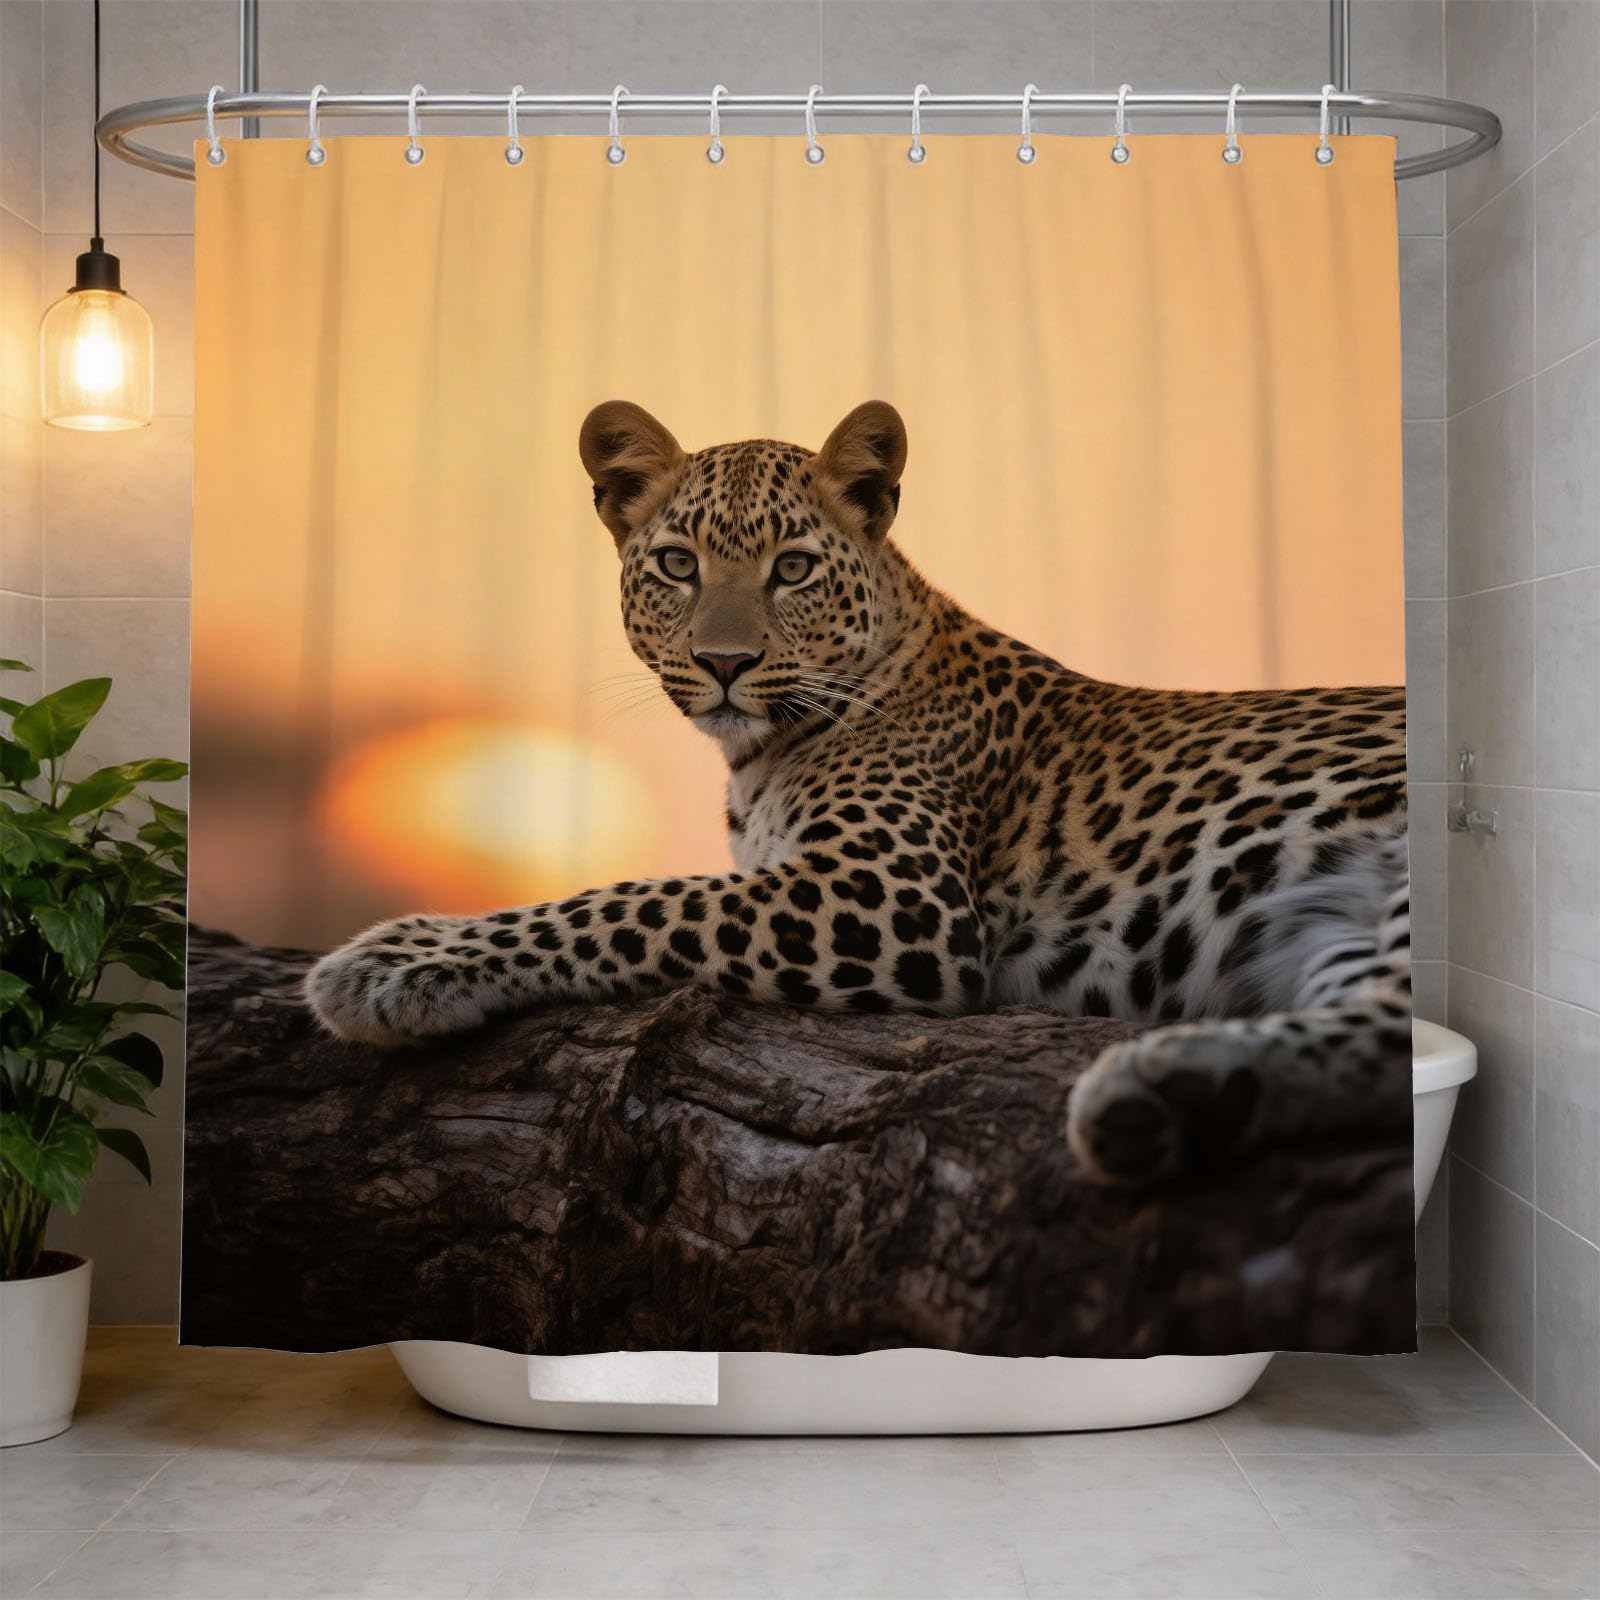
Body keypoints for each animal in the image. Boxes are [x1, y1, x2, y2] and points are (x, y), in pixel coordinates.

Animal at [306, 399, 1412, 1188]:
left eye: (793, 568)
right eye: (677, 564)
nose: (723, 663)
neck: (760, 754)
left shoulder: (891, 893)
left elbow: (633, 900)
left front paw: (401, 960)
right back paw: (1171, 1097)